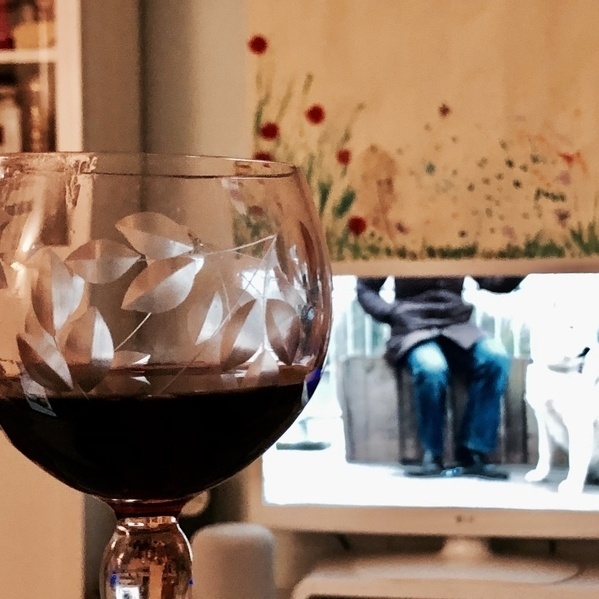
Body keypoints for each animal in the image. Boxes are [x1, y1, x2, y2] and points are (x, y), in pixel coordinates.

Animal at [524, 345, 599, 494]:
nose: (586, 350)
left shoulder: (579, 423)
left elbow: (576, 457)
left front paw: (573, 485)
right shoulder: (543, 419)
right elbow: (544, 450)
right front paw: (540, 474)